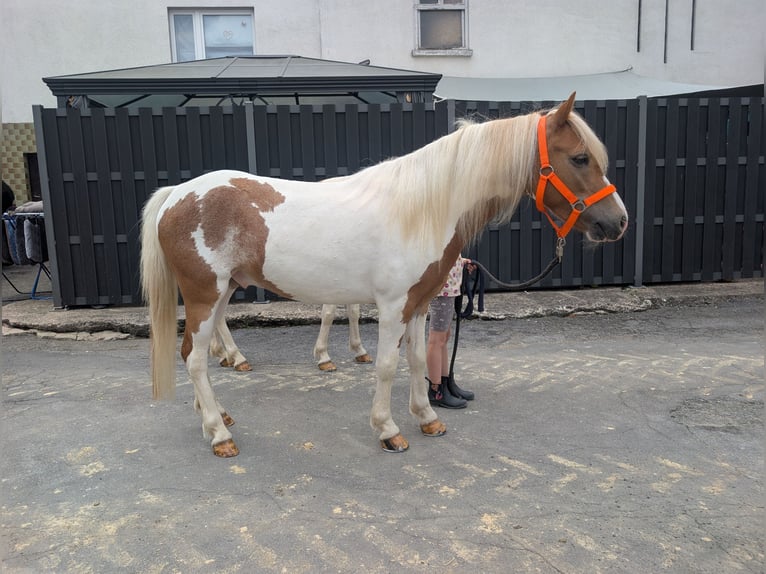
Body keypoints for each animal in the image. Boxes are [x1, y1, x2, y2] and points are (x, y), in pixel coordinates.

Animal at [140, 93, 628, 457]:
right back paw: (220, 435)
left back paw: (216, 417)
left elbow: (418, 361)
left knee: (199, 353)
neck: (423, 209)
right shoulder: (393, 306)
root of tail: (178, 194)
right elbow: (388, 366)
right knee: (194, 358)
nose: (618, 222)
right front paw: (388, 429)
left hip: (221, 293)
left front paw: (427, 418)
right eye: (580, 158)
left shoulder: (419, 305)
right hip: (204, 295)